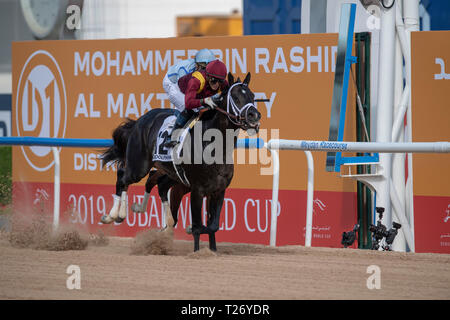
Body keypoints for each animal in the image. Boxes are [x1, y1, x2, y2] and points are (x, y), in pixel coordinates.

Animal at [98, 72, 260, 252]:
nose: (254, 116)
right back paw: (114, 215)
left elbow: (213, 225)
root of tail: (139, 121)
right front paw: (196, 248)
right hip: (138, 166)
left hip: (172, 174)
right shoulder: (197, 189)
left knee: (157, 184)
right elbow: (198, 225)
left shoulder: (218, 190)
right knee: (123, 177)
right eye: (236, 97)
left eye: (252, 96)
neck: (214, 145)